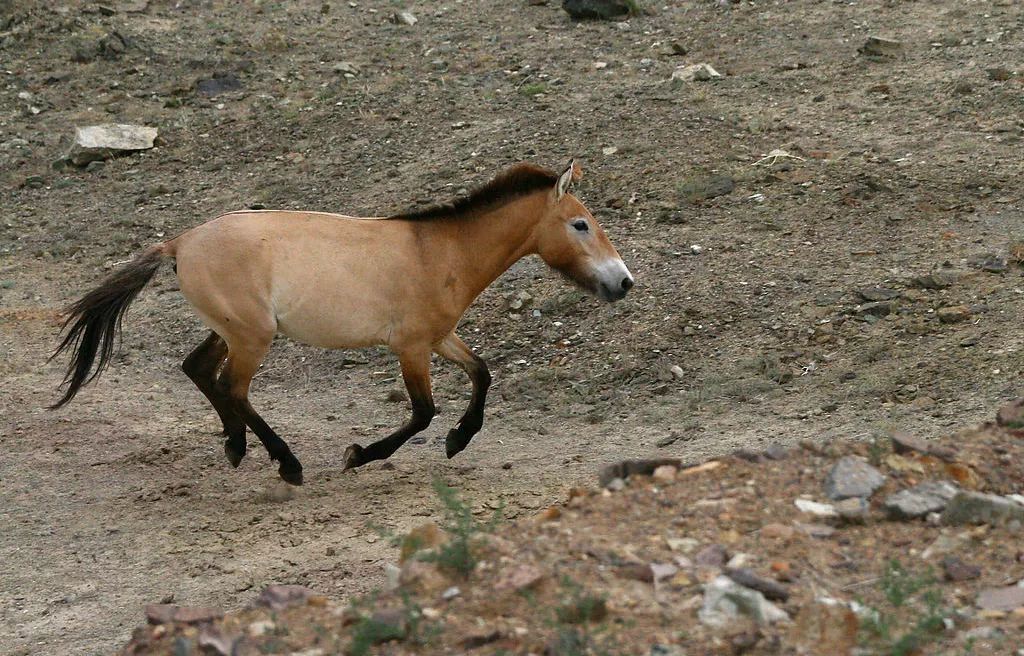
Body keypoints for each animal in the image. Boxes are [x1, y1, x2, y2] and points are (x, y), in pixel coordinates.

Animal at [54, 161, 638, 483]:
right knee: (232, 387)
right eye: (581, 224)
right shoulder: (411, 347)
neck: (439, 252)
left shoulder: (438, 338)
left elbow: (482, 373)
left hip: (232, 330)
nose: (624, 281)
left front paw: (459, 439)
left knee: (199, 371)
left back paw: (236, 447)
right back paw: (286, 464)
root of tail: (178, 243)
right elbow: (422, 413)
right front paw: (360, 455)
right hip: (252, 335)